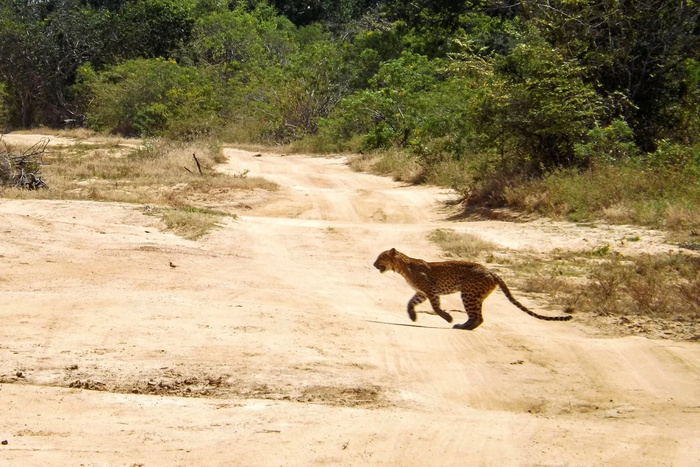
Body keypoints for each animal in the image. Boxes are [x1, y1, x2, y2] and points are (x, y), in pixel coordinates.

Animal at [374, 250, 572, 330]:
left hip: (468, 293)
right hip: (475, 295)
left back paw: (460, 326)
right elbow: (410, 303)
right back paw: (465, 326)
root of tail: (492, 272)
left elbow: (435, 307)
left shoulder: (430, 290)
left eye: (380, 257)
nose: (374, 264)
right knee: (479, 317)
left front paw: (447, 317)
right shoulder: (422, 292)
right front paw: (413, 316)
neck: (402, 267)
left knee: (476, 316)